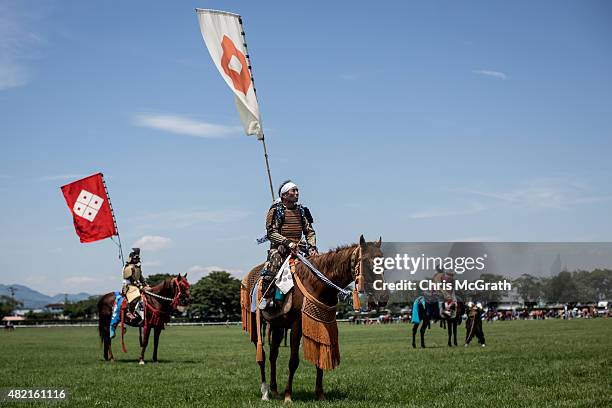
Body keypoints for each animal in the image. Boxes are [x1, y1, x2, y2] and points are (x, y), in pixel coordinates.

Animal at [240, 236, 388, 402]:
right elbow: (293, 361)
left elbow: (321, 357)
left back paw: (274, 390)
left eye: (383, 261)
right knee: (262, 356)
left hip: (277, 325)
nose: (383, 297)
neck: (316, 283)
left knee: (273, 355)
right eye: (366, 261)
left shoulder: (322, 323)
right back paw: (265, 392)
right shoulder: (297, 325)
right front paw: (288, 396)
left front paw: (320, 394)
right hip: (257, 322)